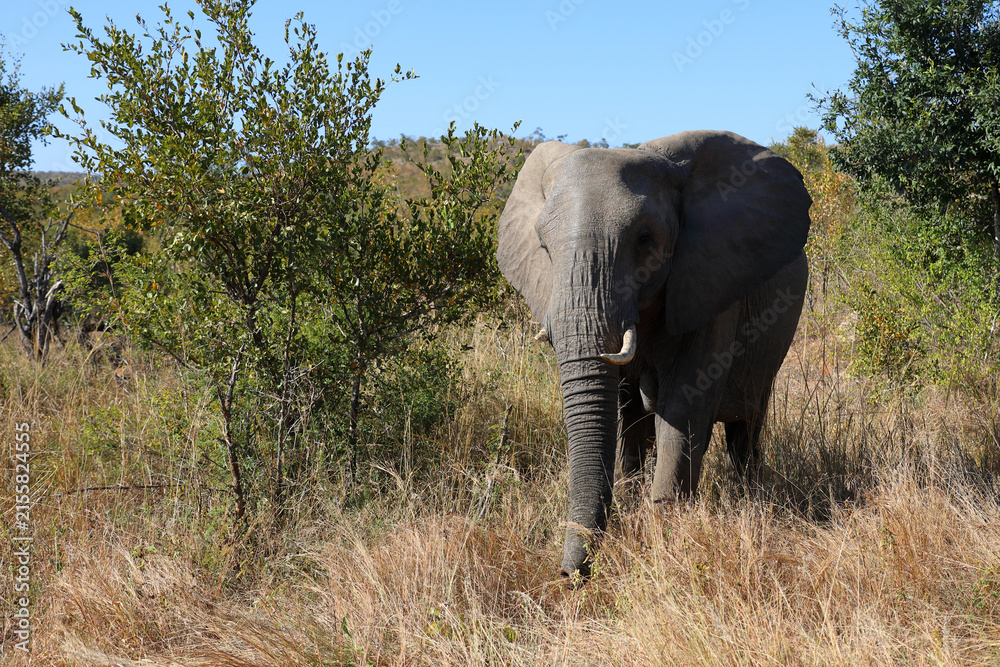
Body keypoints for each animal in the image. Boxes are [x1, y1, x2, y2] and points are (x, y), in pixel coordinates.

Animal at [496, 130, 811, 580]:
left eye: (645, 239)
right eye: (543, 247)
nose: (568, 575)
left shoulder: (708, 284)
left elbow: (684, 406)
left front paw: (665, 534)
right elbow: (628, 417)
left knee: (745, 430)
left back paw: (752, 501)